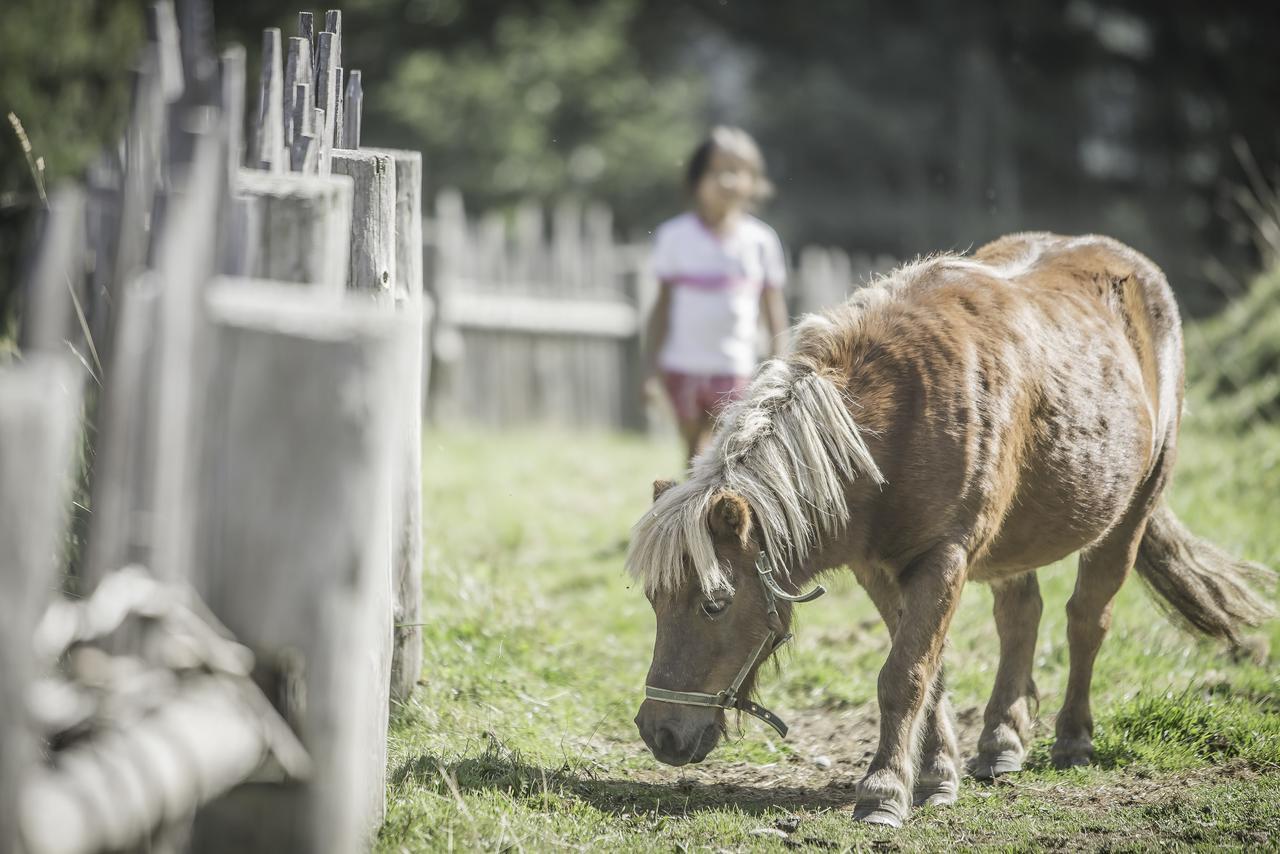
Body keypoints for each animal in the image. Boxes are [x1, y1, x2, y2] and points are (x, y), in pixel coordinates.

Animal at [624, 231, 1274, 829]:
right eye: (654, 600)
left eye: (714, 603)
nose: (659, 732)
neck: (885, 429)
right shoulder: (878, 568)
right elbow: (928, 672)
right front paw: (937, 776)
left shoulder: (944, 558)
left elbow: (905, 675)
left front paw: (884, 792)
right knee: (1021, 616)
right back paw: (1002, 742)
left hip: (1131, 512)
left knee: (1087, 620)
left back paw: (1072, 738)